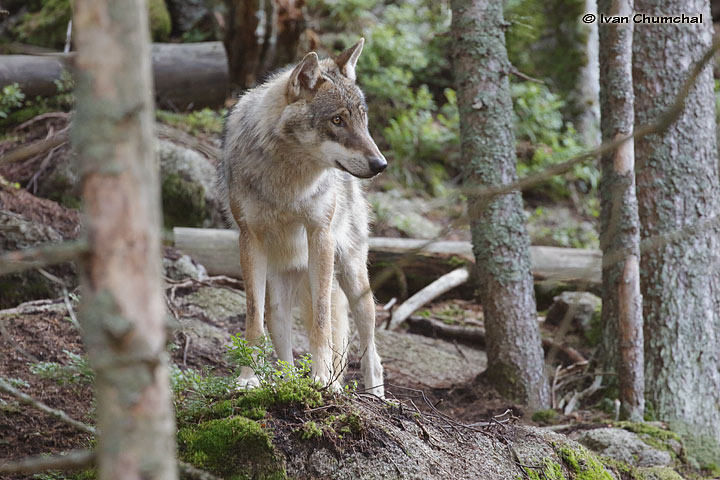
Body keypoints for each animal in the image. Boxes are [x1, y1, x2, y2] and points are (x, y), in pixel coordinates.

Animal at [218, 38, 386, 398]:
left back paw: (371, 394)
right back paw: (288, 380)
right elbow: (253, 322)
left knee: (368, 348)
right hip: (280, 295)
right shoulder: (249, 240)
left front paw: (321, 379)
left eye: (362, 119)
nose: (381, 164)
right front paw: (248, 378)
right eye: (337, 121)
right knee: (283, 344)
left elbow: (322, 324)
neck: (287, 182)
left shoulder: (320, 234)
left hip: (352, 281)